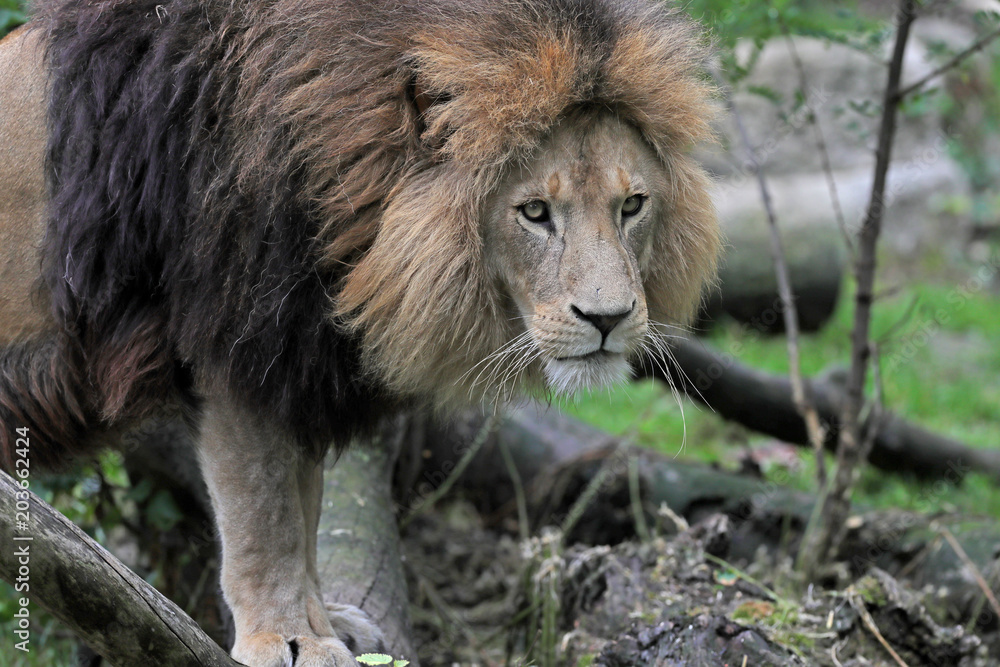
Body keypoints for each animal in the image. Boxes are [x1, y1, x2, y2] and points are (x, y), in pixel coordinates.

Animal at [0, 0, 719, 665]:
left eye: (632, 206)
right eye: (535, 212)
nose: (609, 319)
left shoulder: (302, 364)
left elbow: (306, 505)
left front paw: (326, 624)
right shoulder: (240, 347)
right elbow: (265, 514)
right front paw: (286, 637)